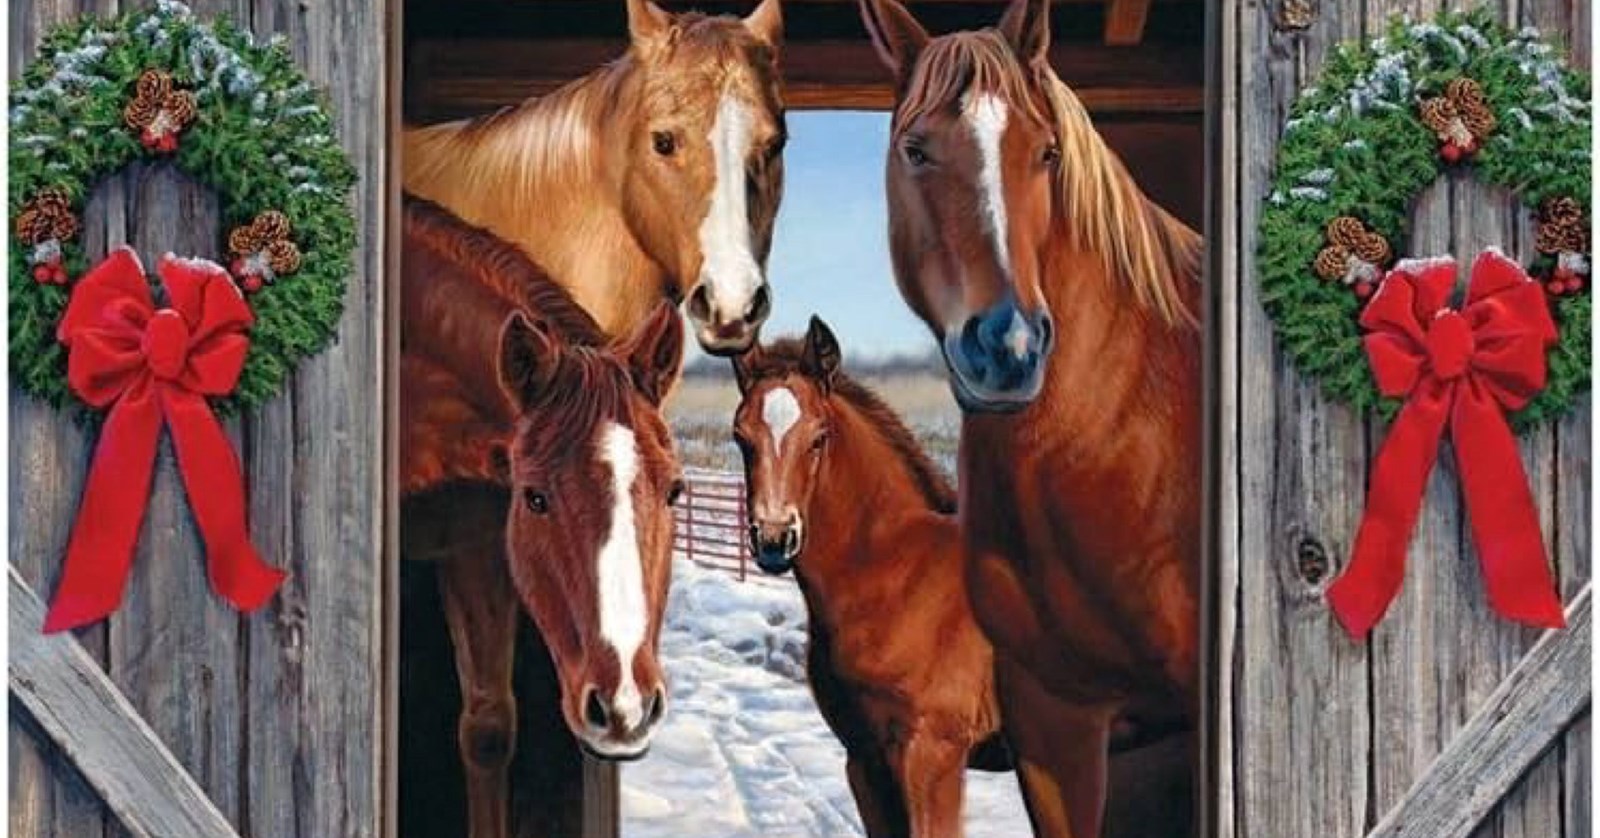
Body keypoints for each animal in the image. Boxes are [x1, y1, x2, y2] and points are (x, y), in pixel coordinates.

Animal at [730, 318, 1010, 838]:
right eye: (741, 437)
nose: (775, 539)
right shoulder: (864, 759)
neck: (897, 576)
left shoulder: (934, 755)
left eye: (819, 437)